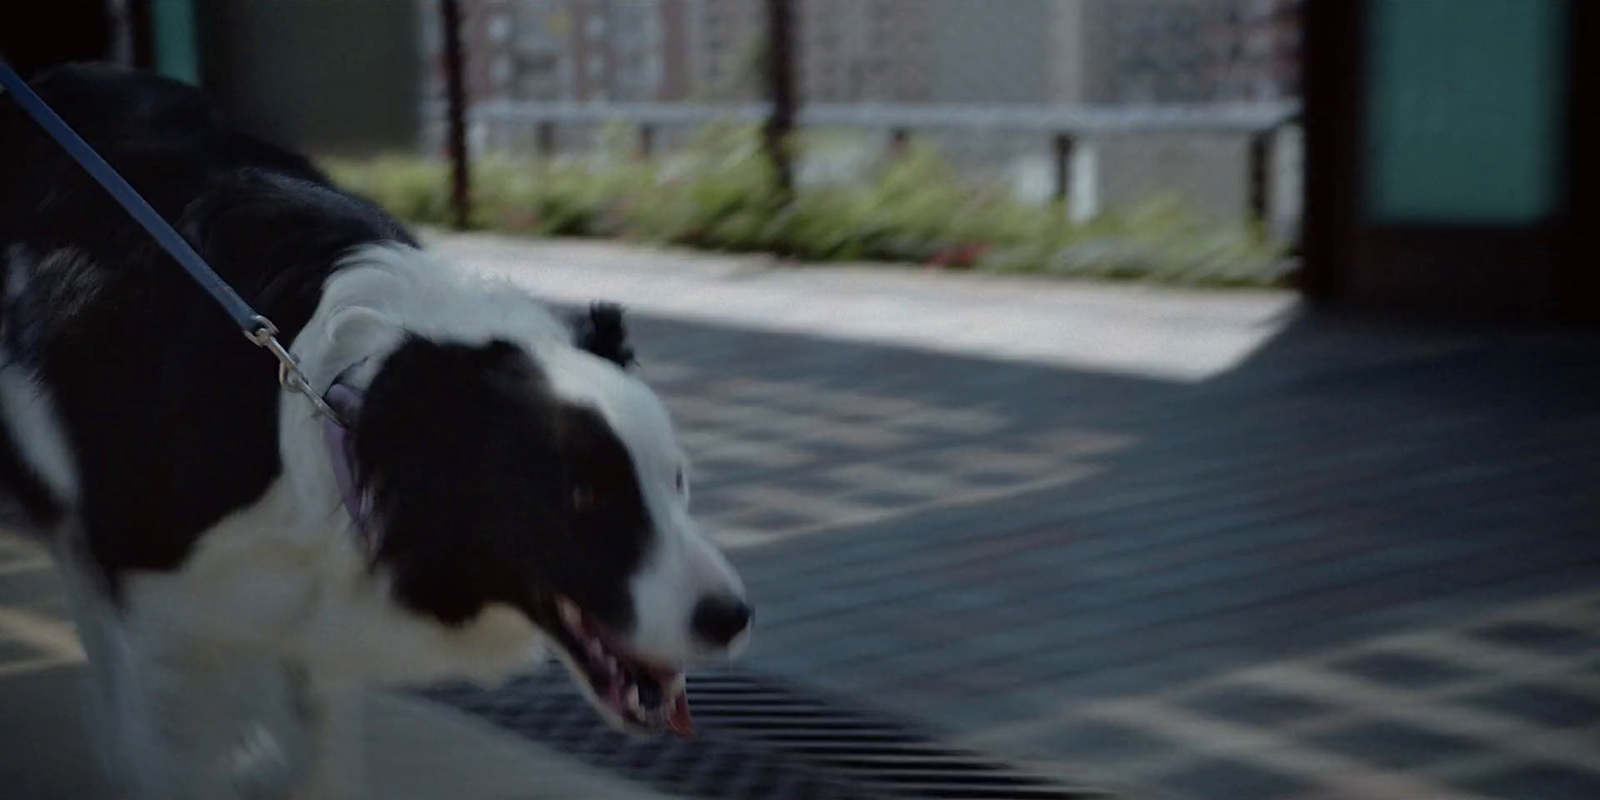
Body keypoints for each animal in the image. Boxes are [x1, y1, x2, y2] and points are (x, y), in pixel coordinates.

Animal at [1, 64, 748, 800]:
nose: (733, 616)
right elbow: (171, 744)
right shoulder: (154, 598)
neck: (346, 406)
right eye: (583, 498)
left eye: (677, 481)